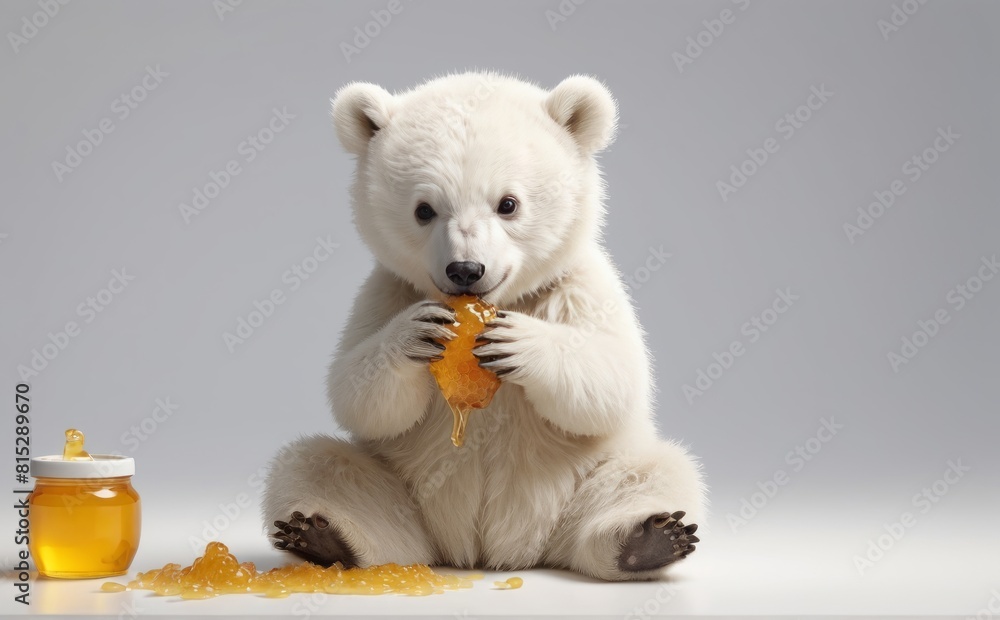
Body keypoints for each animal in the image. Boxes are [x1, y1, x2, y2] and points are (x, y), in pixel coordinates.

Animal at [261, 72, 706, 581]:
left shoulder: (575, 285)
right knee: (319, 466)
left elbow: (613, 378)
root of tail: (491, 551)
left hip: (585, 482)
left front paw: (517, 342)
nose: (465, 270)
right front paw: (415, 335)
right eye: (424, 209)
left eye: (508, 204)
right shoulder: (389, 289)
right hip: (400, 487)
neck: (490, 302)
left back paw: (650, 538)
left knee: (656, 471)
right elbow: (356, 391)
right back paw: (322, 536)